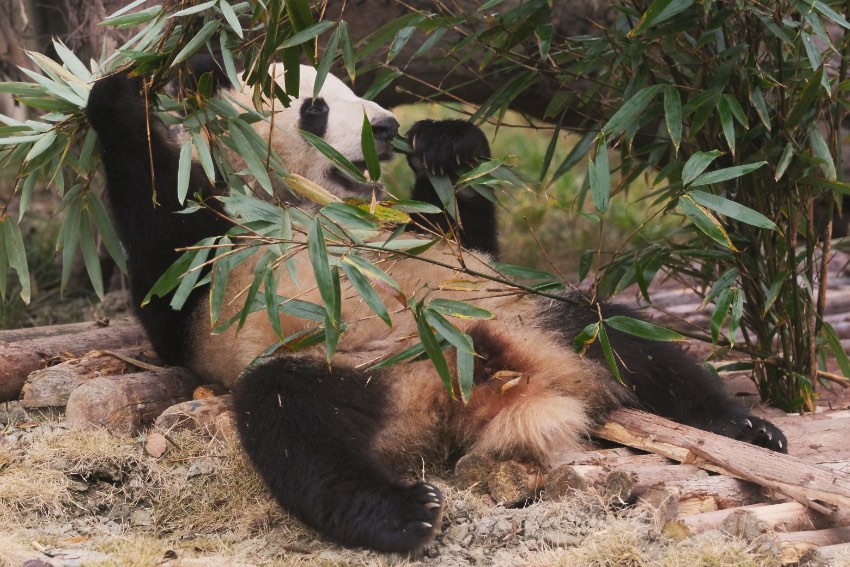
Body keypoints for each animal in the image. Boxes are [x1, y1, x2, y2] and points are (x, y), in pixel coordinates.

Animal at [83, 63, 784, 556]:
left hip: (524, 315)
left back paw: (744, 428)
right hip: (357, 368)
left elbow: (460, 233)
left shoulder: (427, 241)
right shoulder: (222, 261)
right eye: (316, 107)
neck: (299, 200)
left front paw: (445, 142)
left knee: (615, 332)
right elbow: (170, 269)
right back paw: (402, 515)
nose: (389, 127)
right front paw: (119, 95)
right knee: (289, 416)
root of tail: (477, 384)